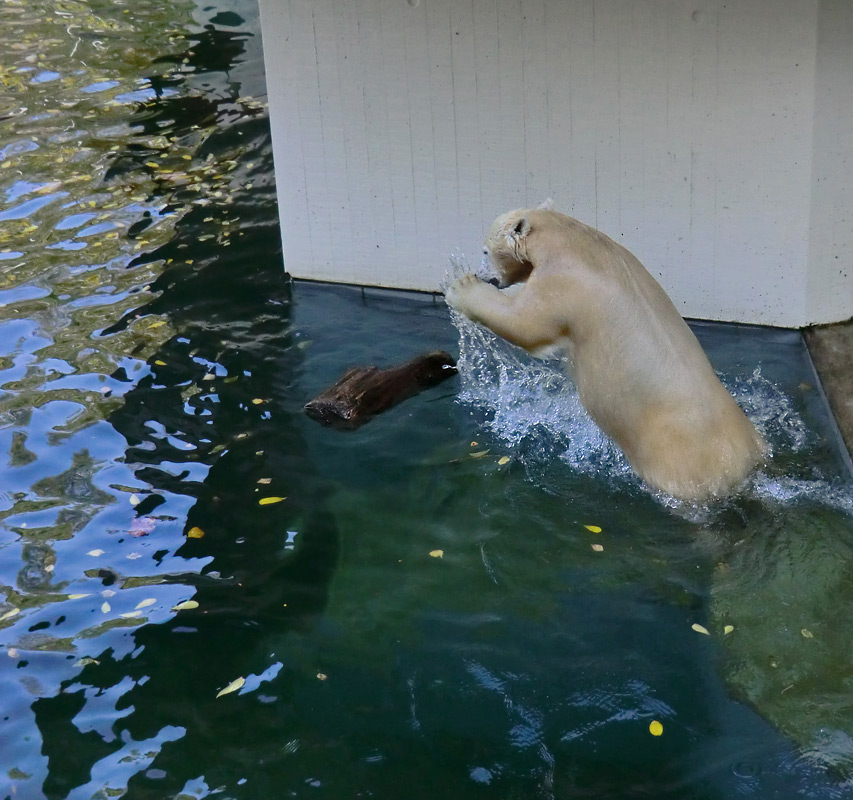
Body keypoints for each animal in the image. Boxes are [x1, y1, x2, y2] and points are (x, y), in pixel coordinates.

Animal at [446, 206, 764, 500]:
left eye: (485, 250)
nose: (485, 276)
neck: (572, 241)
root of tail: (737, 469)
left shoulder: (561, 281)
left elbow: (525, 321)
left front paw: (460, 287)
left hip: (676, 462)